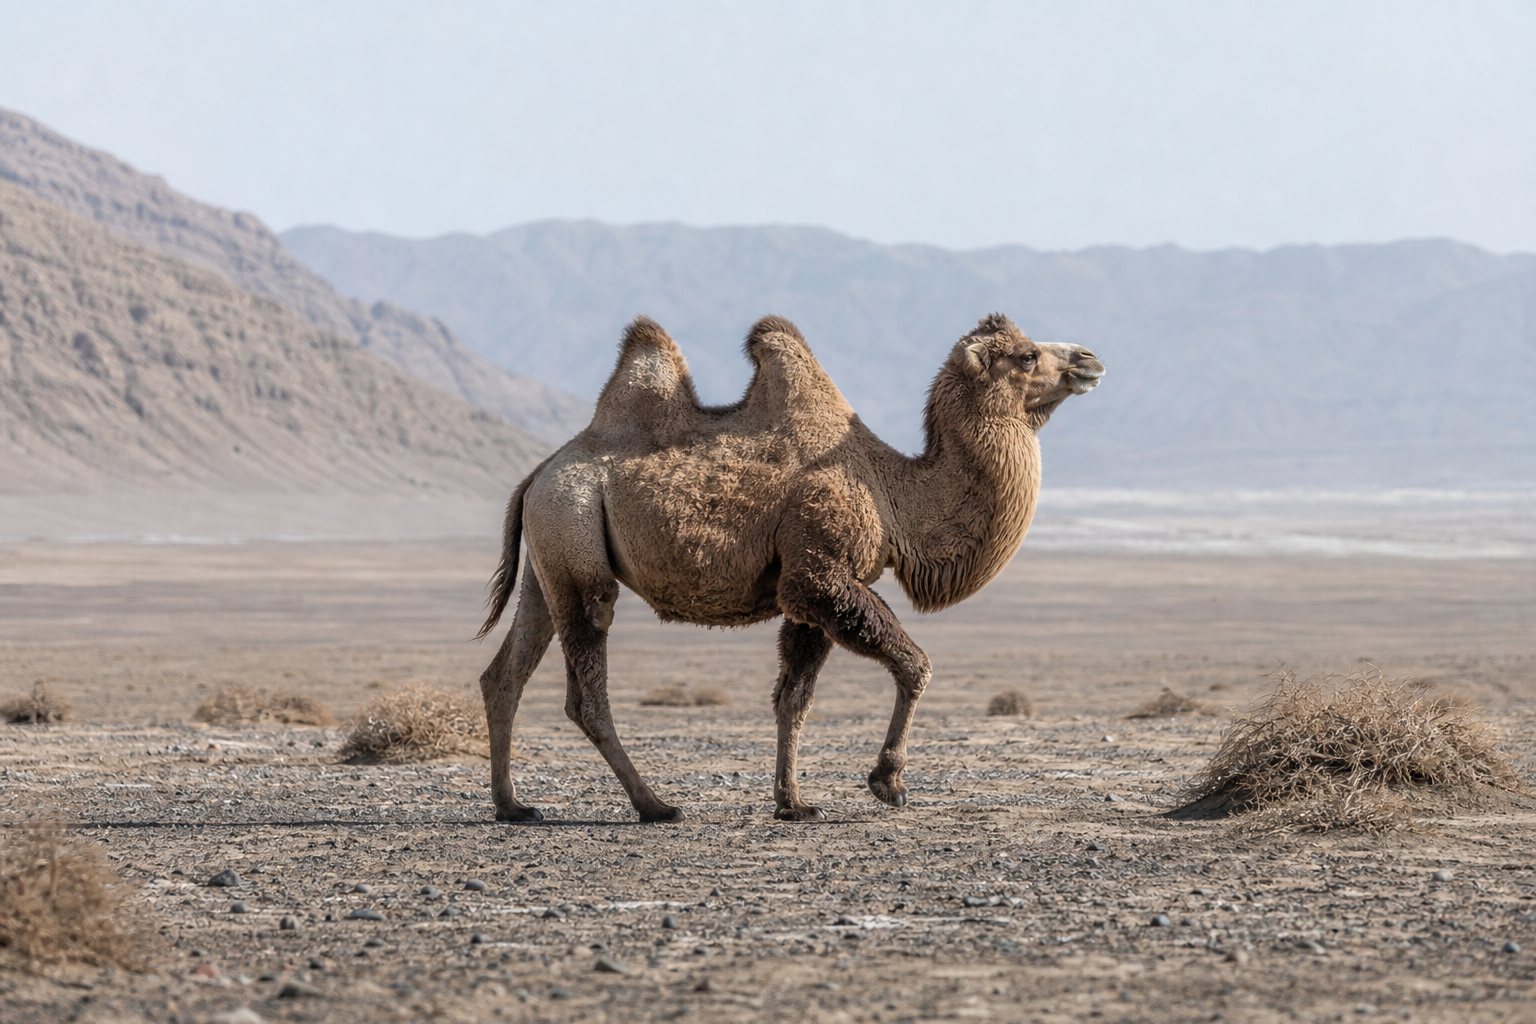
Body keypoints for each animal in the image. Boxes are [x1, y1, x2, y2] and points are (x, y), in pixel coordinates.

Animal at [476, 313, 1104, 822]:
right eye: (1027, 354)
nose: (1089, 359)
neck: (894, 495)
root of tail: (539, 473)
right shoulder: (818, 572)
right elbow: (915, 666)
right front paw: (888, 782)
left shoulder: (809, 594)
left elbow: (793, 697)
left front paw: (794, 802)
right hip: (575, 534)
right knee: (587, 679)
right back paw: (654, 805)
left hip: (549, 556)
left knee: (506, 672)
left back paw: (513, 806)